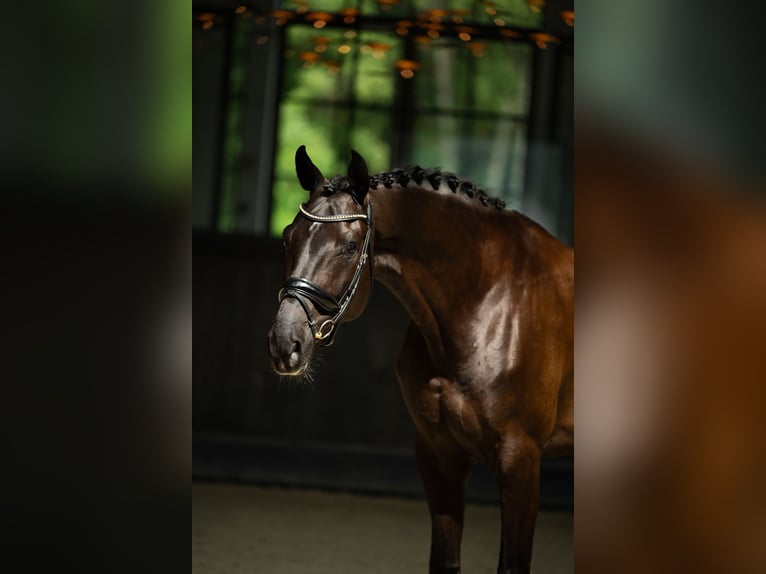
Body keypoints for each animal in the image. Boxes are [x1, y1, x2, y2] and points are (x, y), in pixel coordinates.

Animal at [267, 146, 574, 574]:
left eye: (350, 246)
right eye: (286, 237)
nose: (285, 342)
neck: (485, 300)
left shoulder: (522, 461)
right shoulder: (438, 454)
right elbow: (444, 560)